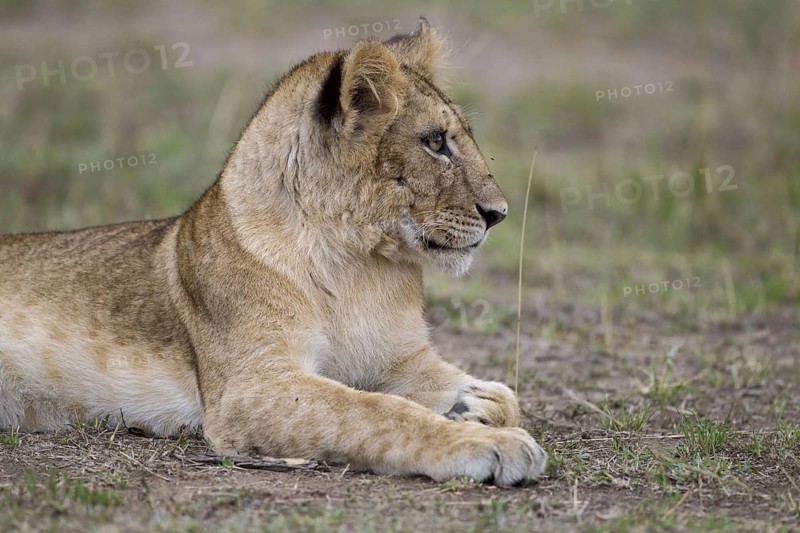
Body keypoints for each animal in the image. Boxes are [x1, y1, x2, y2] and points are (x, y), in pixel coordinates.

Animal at [0, 19, 547, 486]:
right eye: (435, 143)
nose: (498, 213)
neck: (357, 265)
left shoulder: (398, 358)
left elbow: (505, 396)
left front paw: (473, 403)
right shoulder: (251, 388)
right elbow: (375, 411)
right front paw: (487, 442)